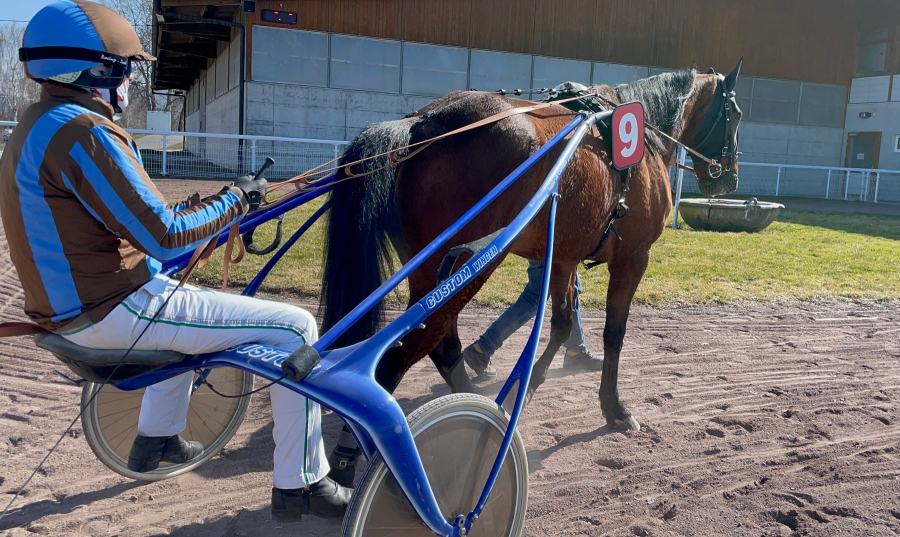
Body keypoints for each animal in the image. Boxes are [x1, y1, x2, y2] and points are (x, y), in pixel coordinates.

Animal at [318, 61, 743, 433]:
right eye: (736, 114)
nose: (730, 177)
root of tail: (423, 122)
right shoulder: (633, 257)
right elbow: (614, 332)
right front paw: (614, 408)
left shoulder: (563, 258)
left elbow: (562, 324)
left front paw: (529, 385)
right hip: (469, 264)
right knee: (404, 353)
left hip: (430, 269)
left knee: (443, 343)